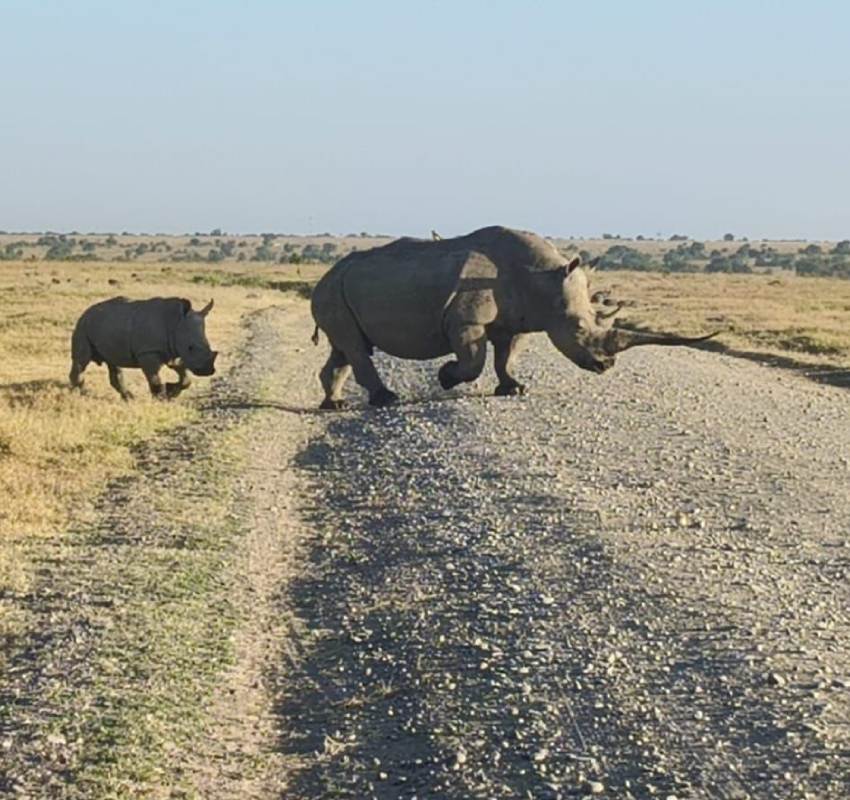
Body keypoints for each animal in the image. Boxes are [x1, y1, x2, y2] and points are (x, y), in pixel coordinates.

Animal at [69, 297, 218, 400]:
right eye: (190, 348)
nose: (207, 371)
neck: (175, 322)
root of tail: (86, 312)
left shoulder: (173, 352)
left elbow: (185, 378)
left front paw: (171, 392)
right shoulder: (148, 352)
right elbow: (154, 378)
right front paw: (161, 398)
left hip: (104, 325)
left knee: (113, 363)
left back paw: (129, 398)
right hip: (83, 327)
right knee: (81, 361)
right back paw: (78, 394)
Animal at [310, 226, 717, 408]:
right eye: (579, 327)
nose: (606, 366)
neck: (544, 279)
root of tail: (325, 274)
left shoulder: (516, 321)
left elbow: (506, 357)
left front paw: (514, 389)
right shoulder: (466, 322)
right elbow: (474, 361)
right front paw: (446, 378)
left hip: (339, 290)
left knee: (345, 347)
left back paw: (334, 404)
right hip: (332, 290)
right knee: (354, 347)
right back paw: (385, 400)